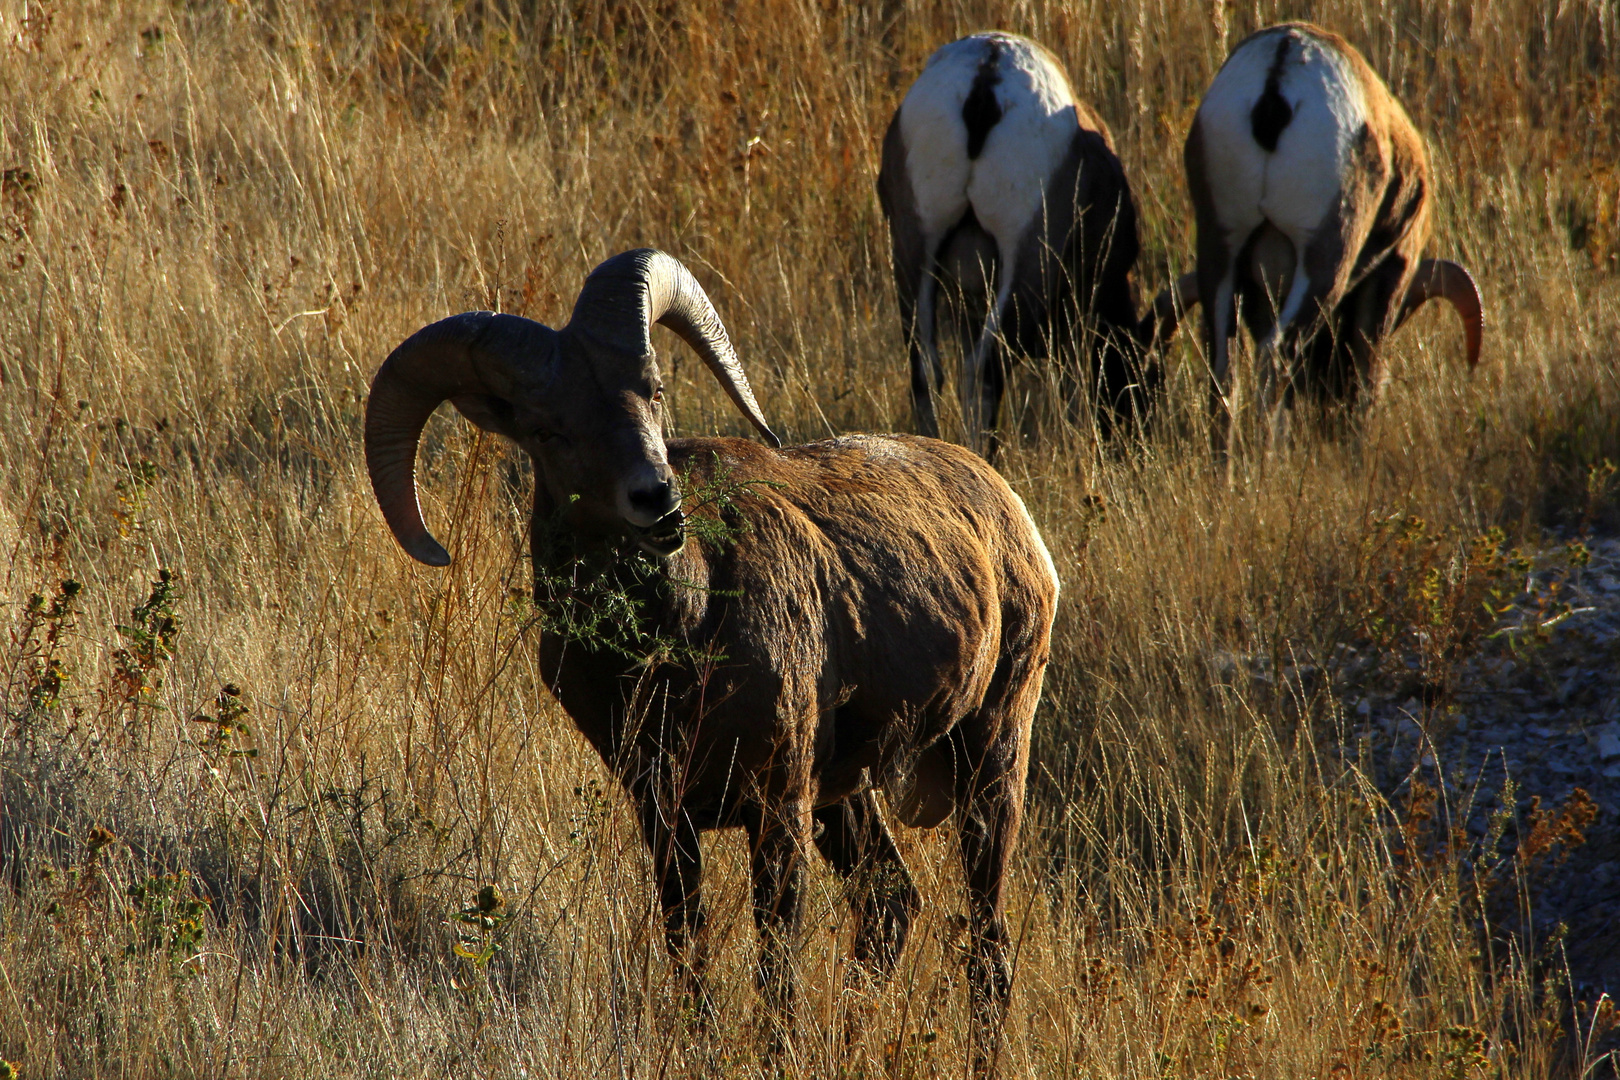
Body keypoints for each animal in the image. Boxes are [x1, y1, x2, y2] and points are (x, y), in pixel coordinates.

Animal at [361, 249, 1056, 1068]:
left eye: (655, 392)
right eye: (548, 430)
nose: (656, 501)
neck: (672, 645)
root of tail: (1010, 515)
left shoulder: (777, 807)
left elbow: (775, 968)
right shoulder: (667, 816)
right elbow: (687, 952)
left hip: (990, 756)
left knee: (986, 946)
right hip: (851, 796)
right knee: (891, 904)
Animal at [874, 32, 1192, 456]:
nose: (1130, 449)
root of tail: (986, 76)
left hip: (914, 253)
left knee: (925, 369)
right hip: (1026, 264)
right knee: (985, 368)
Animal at [1185, 22, 1483, 433]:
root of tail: (1280, 67)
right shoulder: (1391, 273)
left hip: (1220, 254)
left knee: (1224, 371)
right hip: (1326, 263)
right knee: (1275, 358)